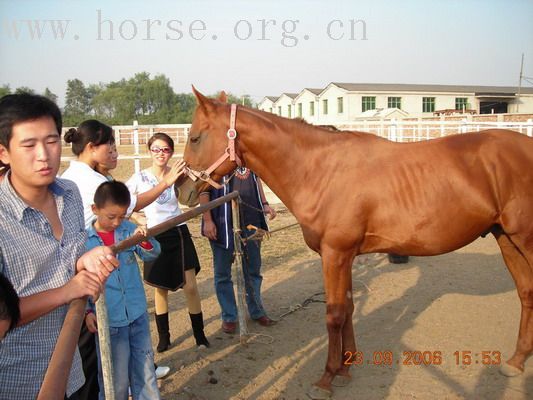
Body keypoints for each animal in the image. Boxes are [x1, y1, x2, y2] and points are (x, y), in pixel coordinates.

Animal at [178, 88, 532, 400]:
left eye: (195, 137)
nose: (182, 190)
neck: (320, 171)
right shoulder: (345, 256)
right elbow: (347, 308)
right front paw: (346, 369)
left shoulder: (334, 254)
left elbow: (334, 314)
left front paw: (326, 378)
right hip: (507, 240)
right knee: (526, 292)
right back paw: (515, 362)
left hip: (523, 240)